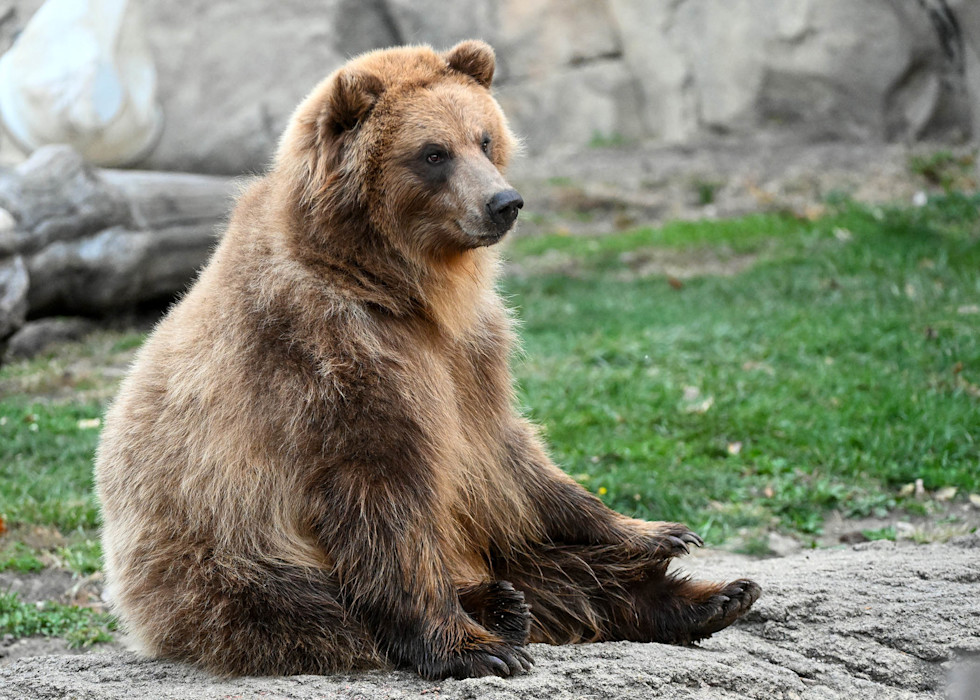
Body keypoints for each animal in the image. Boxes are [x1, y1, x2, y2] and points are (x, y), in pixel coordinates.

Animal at [95, 40, 760, 680]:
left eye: (485, 137)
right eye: (433, 153)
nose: (504, 202)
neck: (400, 291)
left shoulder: (468, 357)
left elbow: (512, 459)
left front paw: (663, 532)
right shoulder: (328, 359)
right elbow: (385, 500)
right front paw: (475, 651)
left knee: (548, 566)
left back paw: (712, 597)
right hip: (222, 553)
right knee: (309, 604)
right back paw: (496, 610)